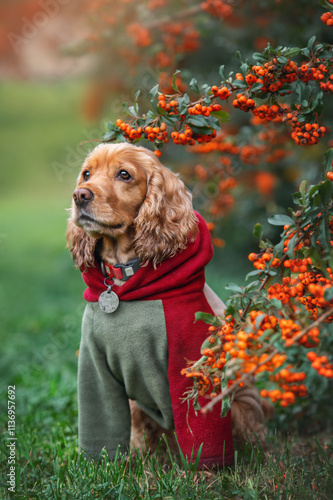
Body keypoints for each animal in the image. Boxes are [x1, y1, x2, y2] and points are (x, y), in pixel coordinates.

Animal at [67, 142, 270, 468]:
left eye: (124, 175)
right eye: (86, 174)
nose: (80, 195)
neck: (125, 278)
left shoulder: (189, 361)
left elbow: (200, 426)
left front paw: (204, 471)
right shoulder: (95, 365)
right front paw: (108, 465)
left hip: (240, 404)